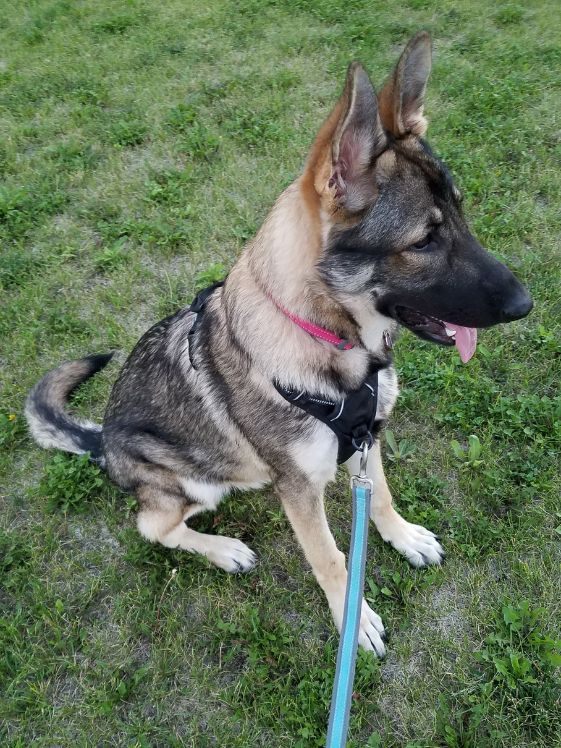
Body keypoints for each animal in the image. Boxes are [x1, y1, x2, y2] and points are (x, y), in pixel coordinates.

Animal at [26, 33, 532, 656]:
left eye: (461, 210)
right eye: (423, 241)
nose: (527, 304)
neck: (329, 338)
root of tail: (102, 443)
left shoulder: (368, 439)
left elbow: (381, 498)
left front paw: (404, 537)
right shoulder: (300, 491)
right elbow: (333, 558)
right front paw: (353, 619)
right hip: (192, 483)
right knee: (154, 527)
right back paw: (223, 550)